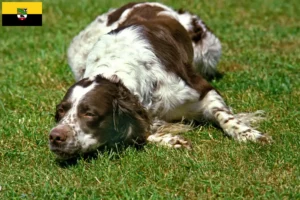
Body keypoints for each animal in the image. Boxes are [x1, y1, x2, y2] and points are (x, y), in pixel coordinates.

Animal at [48, 1, 270, 159]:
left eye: (90, 113)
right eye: (61, 111)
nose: (55, 136)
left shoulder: (201, 89)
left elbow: (223, 115)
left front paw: (248, 134)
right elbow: (141, 132)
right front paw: (172, 140)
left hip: (208, 48)